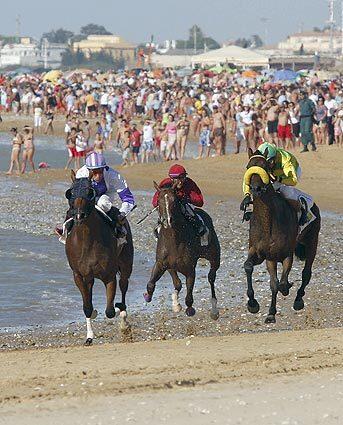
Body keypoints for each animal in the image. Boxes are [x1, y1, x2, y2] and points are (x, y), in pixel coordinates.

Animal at [65, 170, 134, 344]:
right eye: (71, 192)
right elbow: (87, 307)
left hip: (126, 265)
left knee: (124, 287)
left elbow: (110, 310)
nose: (79, 215)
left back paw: (124, 319)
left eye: (90, 192)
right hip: (89, 277)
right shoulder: (79, 275)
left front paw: (118, 309)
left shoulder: (109, 275)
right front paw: (89, 335)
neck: (86, 242)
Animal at [144, 181, 222, 320]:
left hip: (214, 256)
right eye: (159, 201)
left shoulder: (190, 268)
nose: (167, 221)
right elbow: (152, 284)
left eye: (174, 201)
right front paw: (150, 297)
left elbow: (189, 294)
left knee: (211, 278)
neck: (173, 240)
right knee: (177, 283)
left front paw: (189, 309)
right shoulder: (161, 263)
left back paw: (214, 309)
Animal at [243, 148, 322, 322]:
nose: (256, 189)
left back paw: (298, 300)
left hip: (312, 241)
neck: (268, 223)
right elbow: (251, 268)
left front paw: (285, 291)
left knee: (306, 273)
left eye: (265, 167)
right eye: (248, 167)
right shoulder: (263, 254)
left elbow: (282, 283)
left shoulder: (286, 255)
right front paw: (255, 305)